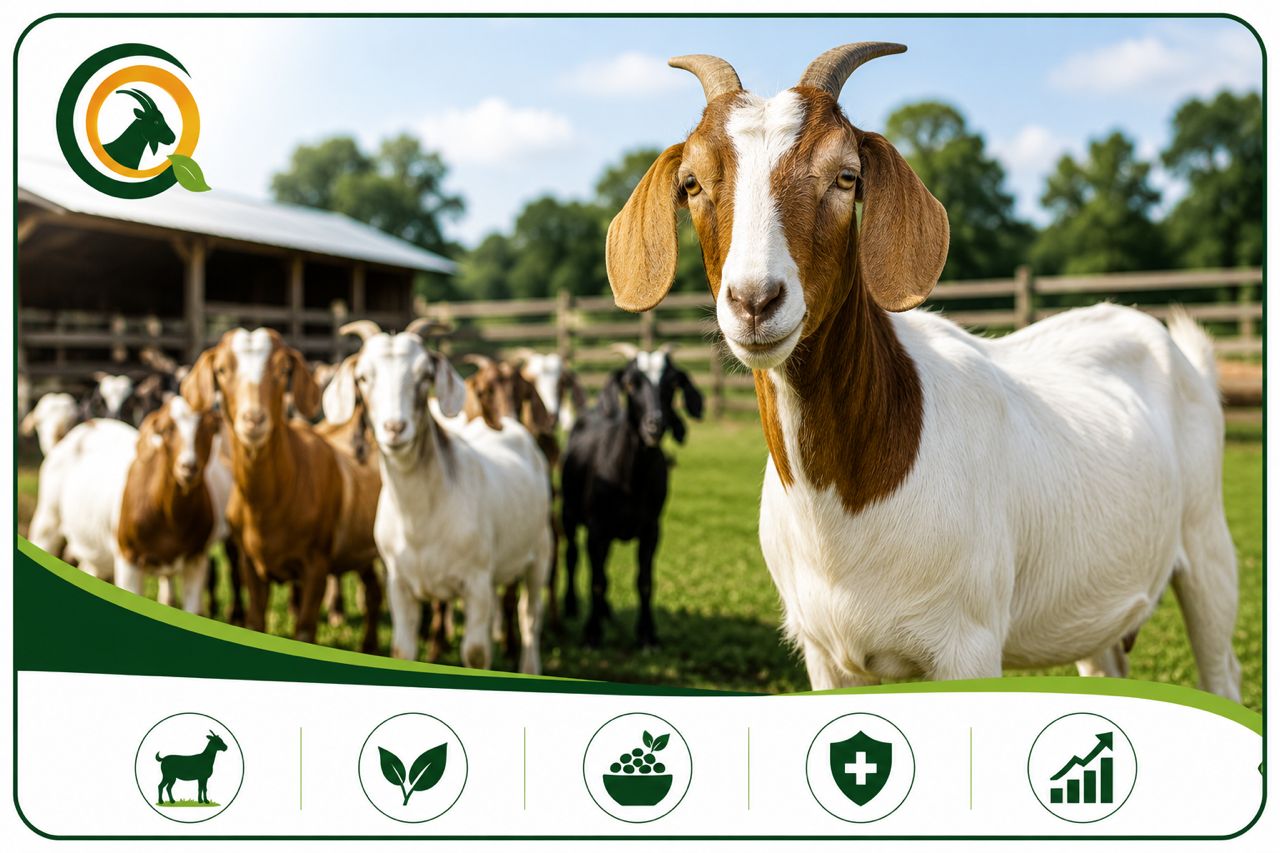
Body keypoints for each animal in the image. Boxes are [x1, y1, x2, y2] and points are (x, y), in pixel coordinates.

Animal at [181, 328, 383, 652]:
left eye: (283, 370)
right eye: (221, 370)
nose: (254, 419)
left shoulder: (316, 566)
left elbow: (305, 629)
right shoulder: (250, 563)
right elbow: (255, 621)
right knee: (373, 591)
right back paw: (369, 647)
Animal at [324, 321, 552, 673]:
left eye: (424, 375)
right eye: (362, 377)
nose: (395, 428)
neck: (419, 519)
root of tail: (510, 424)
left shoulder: (475, 583)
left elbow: (476, 653)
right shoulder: (400, 584)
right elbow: (402, 649)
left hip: (540, 551)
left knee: (530, 615)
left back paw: (529, 668)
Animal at [560, 347, 703, 647]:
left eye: (672, 383)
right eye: (630, 383)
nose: (655, 425)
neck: (629, 479)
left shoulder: (651, 529)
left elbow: (644, 581)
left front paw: (647, 633)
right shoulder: (597, 528)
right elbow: (597, 580)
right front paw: (592, 633)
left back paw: (605, 611)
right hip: (569, 511)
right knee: (572, 554)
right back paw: (571, 606)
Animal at [606, 43, 1241, 700]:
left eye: (846, 176)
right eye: (691, 183)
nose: (755, 301)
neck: (843, 507)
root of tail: (1172, 345)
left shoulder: (969, 645)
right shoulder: (823, 654)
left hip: (1208, 548)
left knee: (1221, 664)